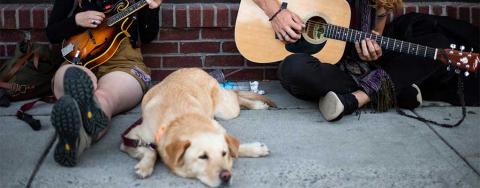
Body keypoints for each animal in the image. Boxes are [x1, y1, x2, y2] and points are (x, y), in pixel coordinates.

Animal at [122, 67, 276, 187]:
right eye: (203, 157)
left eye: (224, 154)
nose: (226, 176)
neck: (178, 119)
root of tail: (198, 69)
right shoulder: (129, 139)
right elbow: (151, 150)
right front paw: (145, 166)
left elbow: (236, 147)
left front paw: (255, 149)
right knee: (236, 96)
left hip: (226, 111)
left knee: (236, 96)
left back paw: (257, 104)